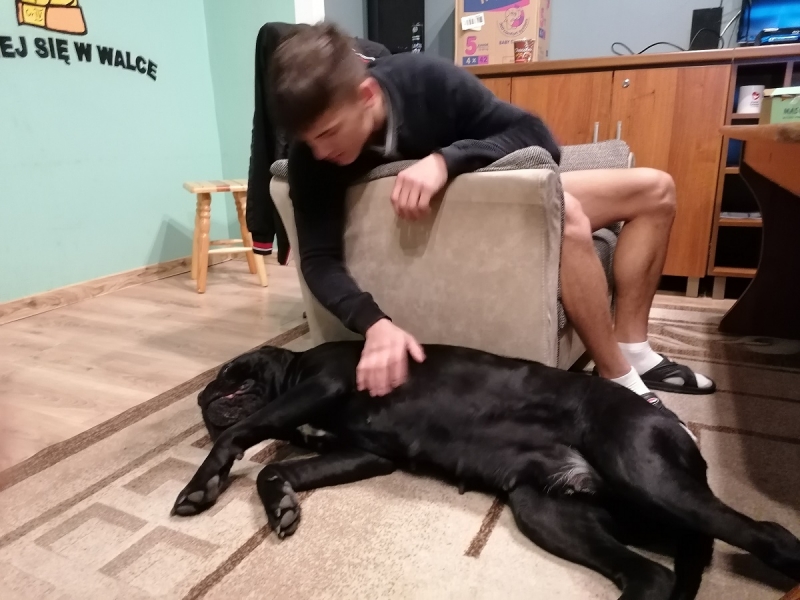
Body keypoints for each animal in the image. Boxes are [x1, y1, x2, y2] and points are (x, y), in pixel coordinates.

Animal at [172, 341, 800, 599]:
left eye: (229, 374)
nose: (201, 395)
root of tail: (672, 423)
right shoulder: (363, 453)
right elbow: (273, 472)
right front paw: (280, 502)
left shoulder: (323, 384)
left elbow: (235, 436)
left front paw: (201, 486)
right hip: (548, 509)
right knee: (652, 576)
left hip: (642, 470)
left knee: (766, 533)